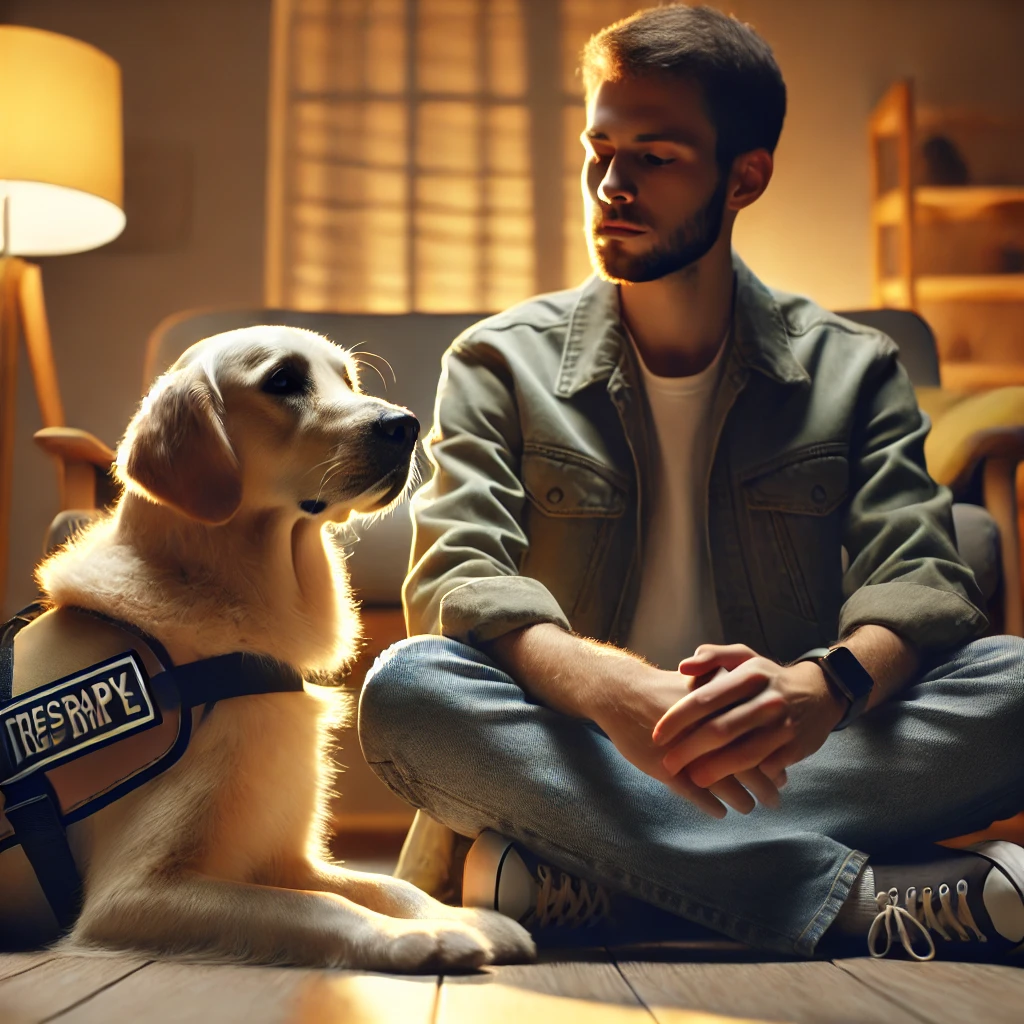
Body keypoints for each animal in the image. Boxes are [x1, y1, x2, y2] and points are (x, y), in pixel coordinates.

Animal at [2, 325, 536, 966]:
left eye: (348, 379)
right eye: (282, 381)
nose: (407, 425)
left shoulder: (286, 854)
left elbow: (387, 884)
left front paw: (464, 917)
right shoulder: (132, 891)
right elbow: (318, 906)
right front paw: (414, 938)